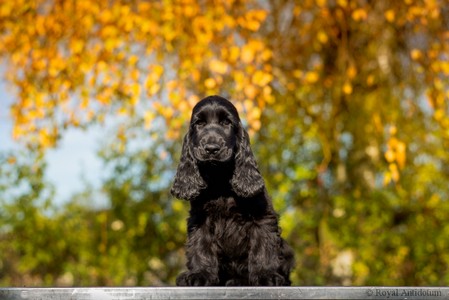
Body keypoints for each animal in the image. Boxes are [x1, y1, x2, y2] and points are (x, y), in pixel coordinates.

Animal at [170, 95, 292, 286]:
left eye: (226, 122)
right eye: (199, 123)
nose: (211, 148)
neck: (220, 180)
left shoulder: (262, 217)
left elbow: (263, 246)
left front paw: (266, 275)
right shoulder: (199, 219)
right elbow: (201, 246)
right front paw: (200, 274)